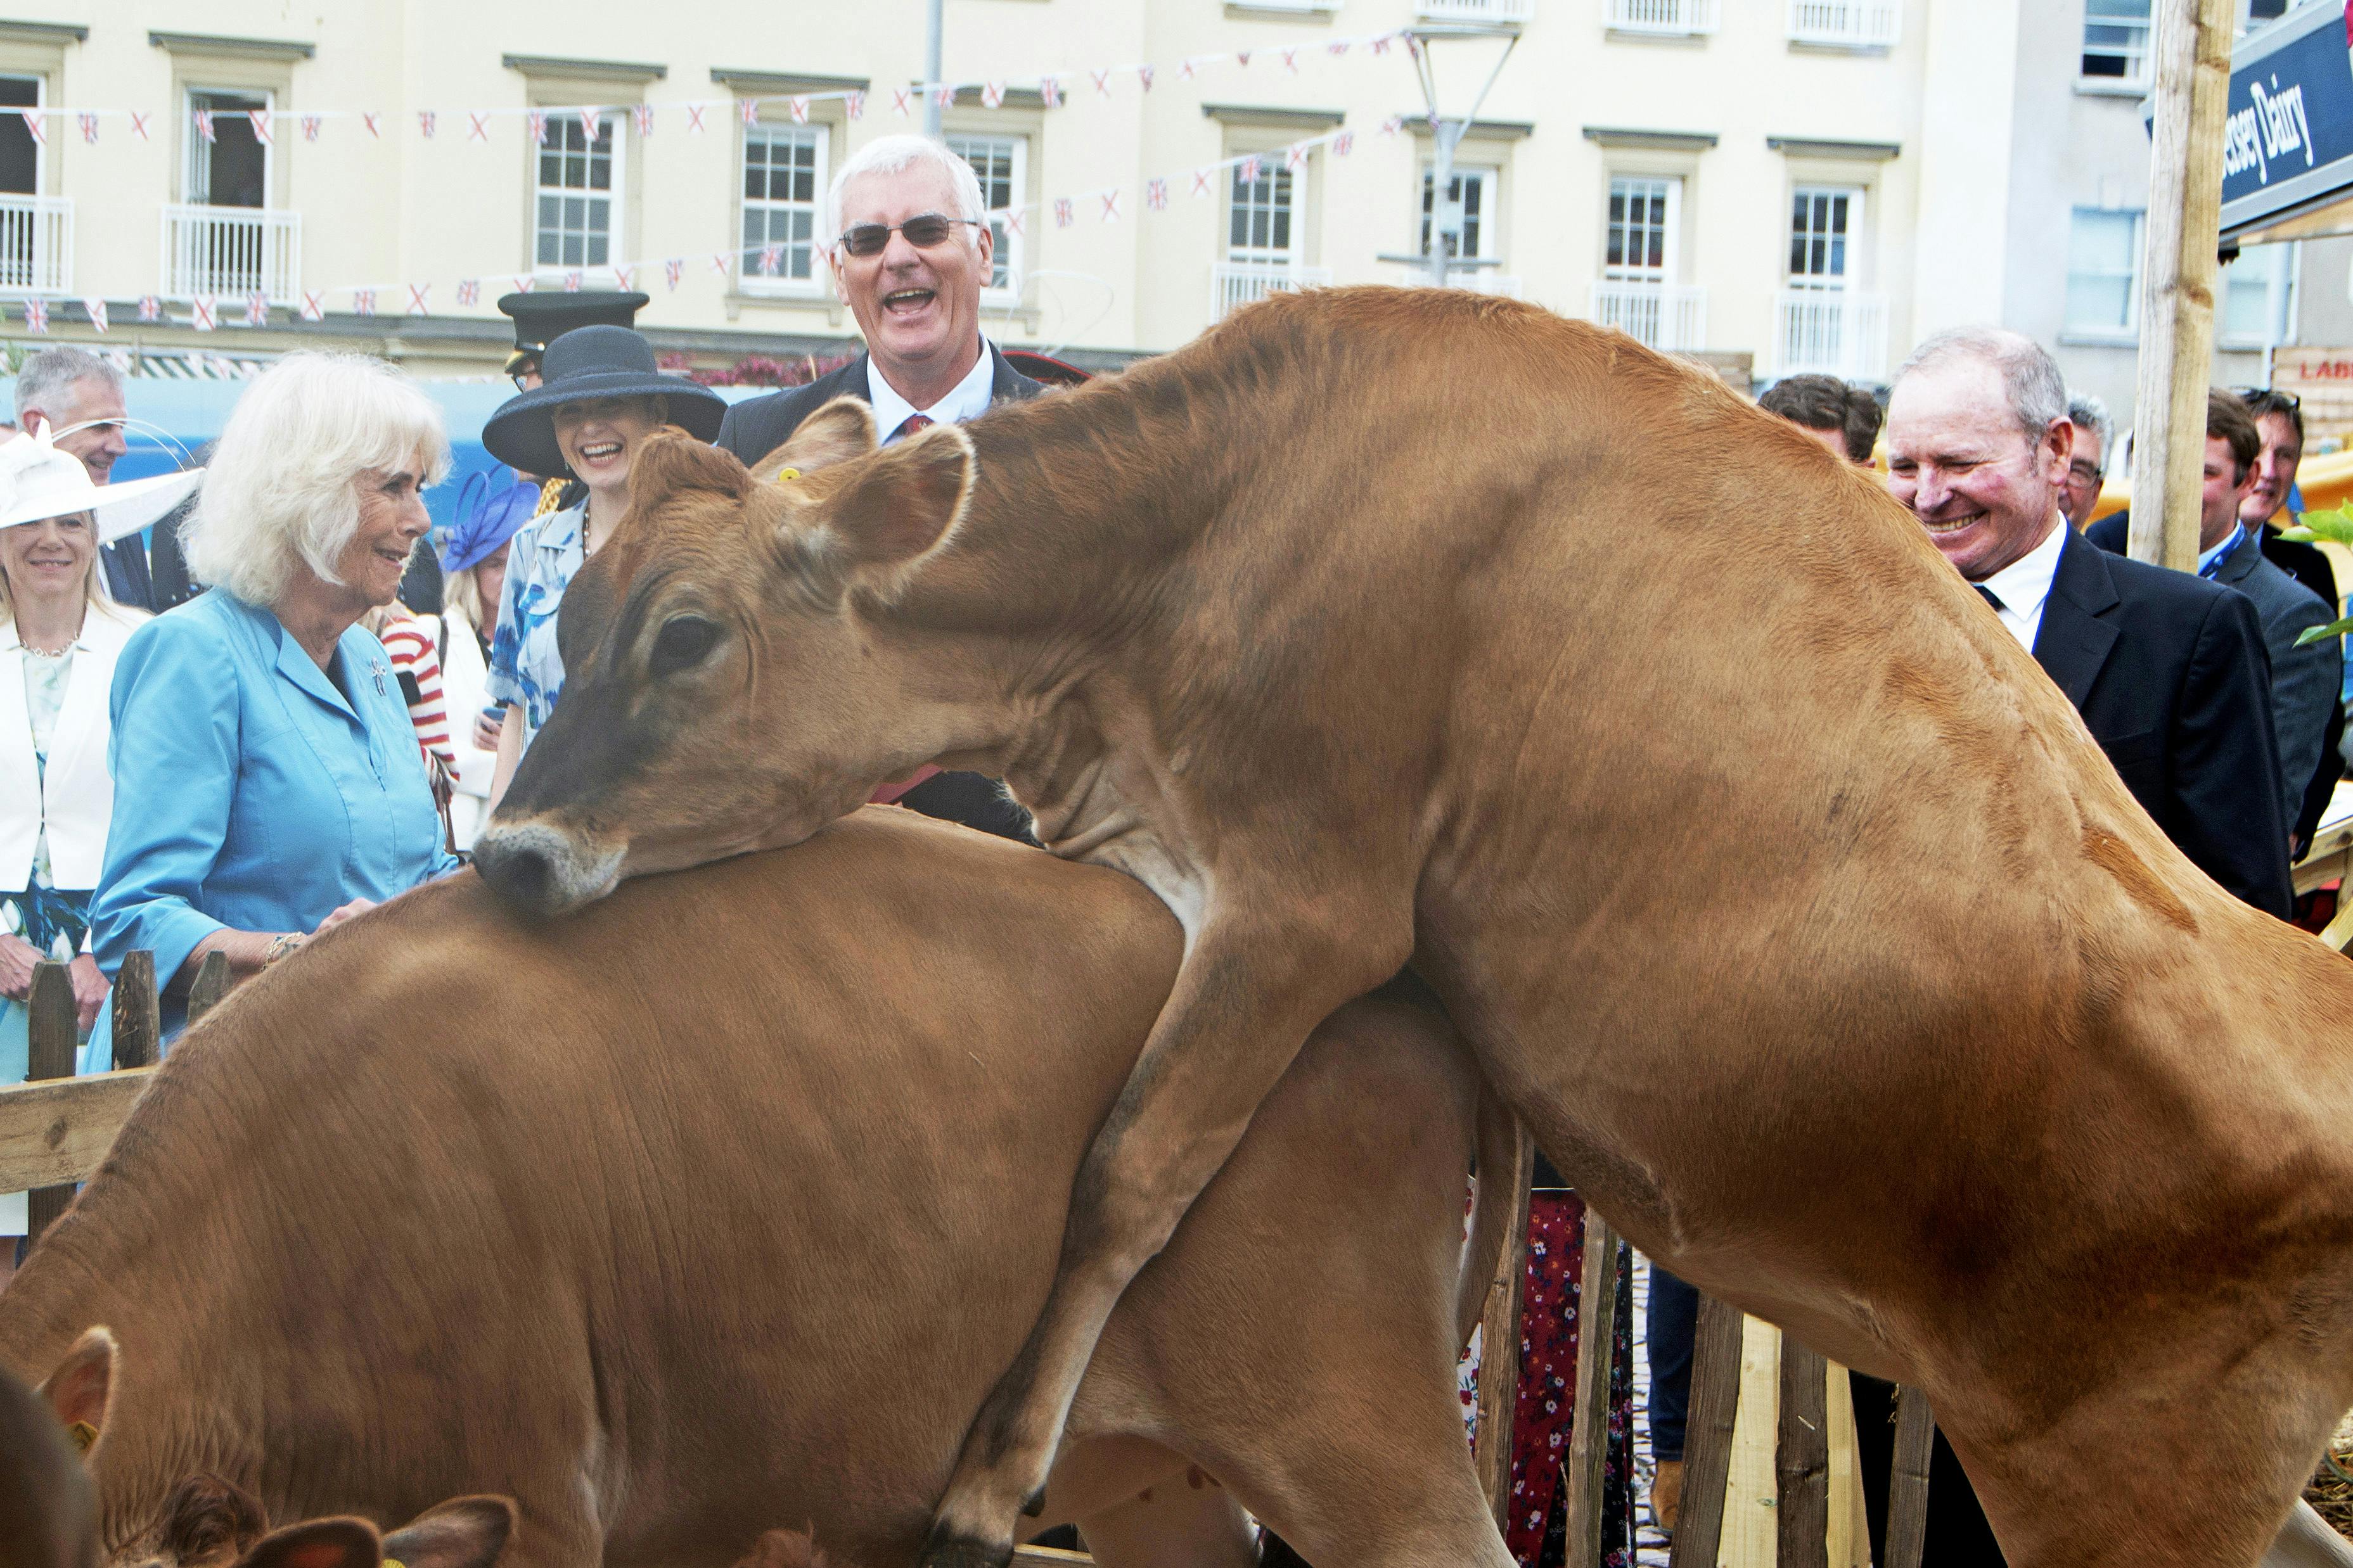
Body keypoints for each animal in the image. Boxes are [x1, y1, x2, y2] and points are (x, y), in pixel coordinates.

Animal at [468, 285, 2353, 1568]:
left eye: (688, 635)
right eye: (565, 612)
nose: (507, 852)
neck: (1198, 538)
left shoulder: (1309, 898)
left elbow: (1128, 1167)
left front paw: (992, 1476)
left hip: (2126, 1488)